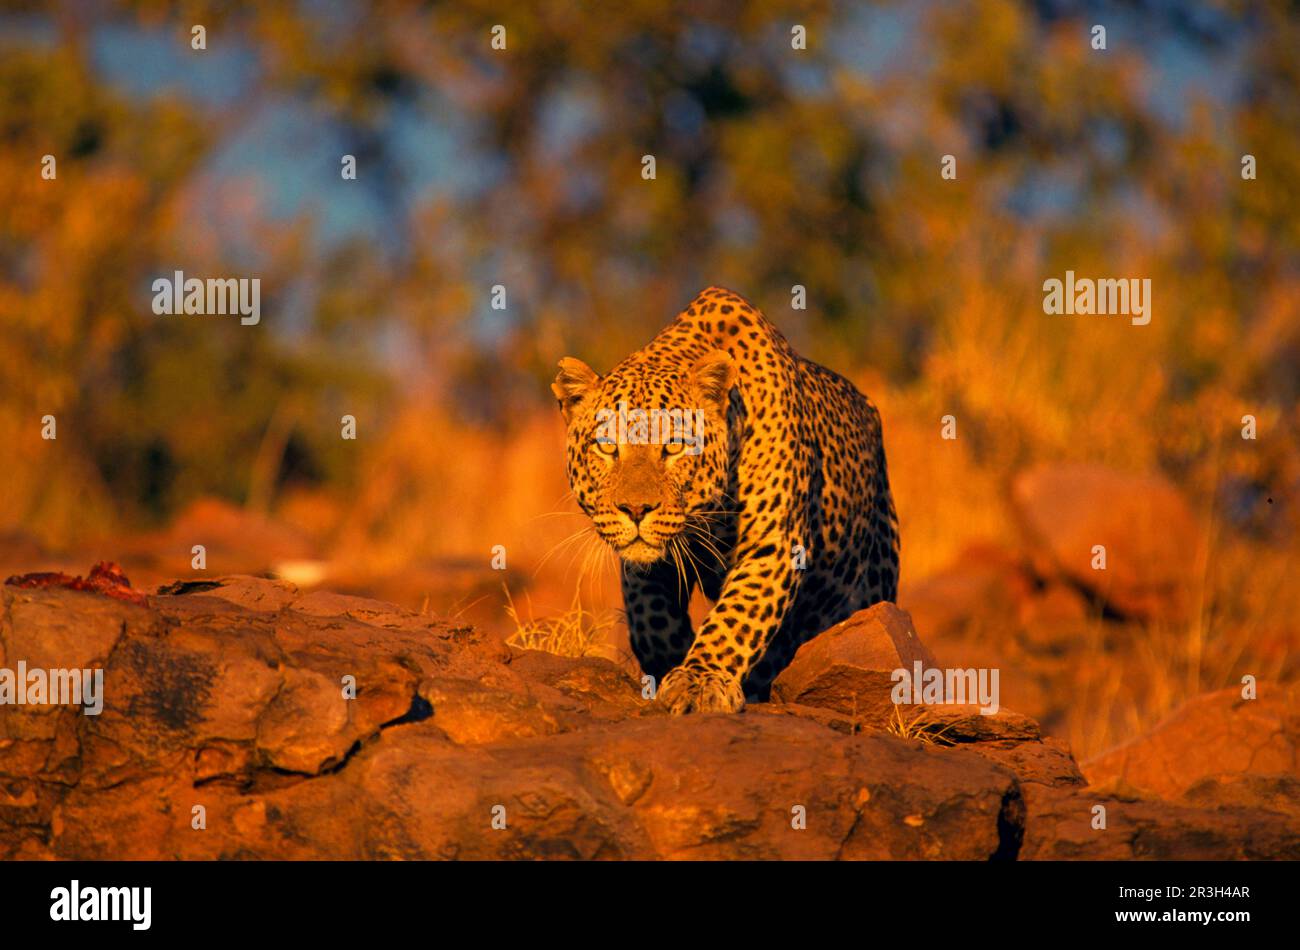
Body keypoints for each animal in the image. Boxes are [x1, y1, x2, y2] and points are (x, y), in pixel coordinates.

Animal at [553, 288, 899, 712]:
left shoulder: (773, 545)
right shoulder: (645, 566)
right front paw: (672, 663)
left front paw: (700, 680)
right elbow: (652, 622)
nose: (636, 510)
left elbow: (734, 619)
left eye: (674, 447)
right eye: (606, 447)